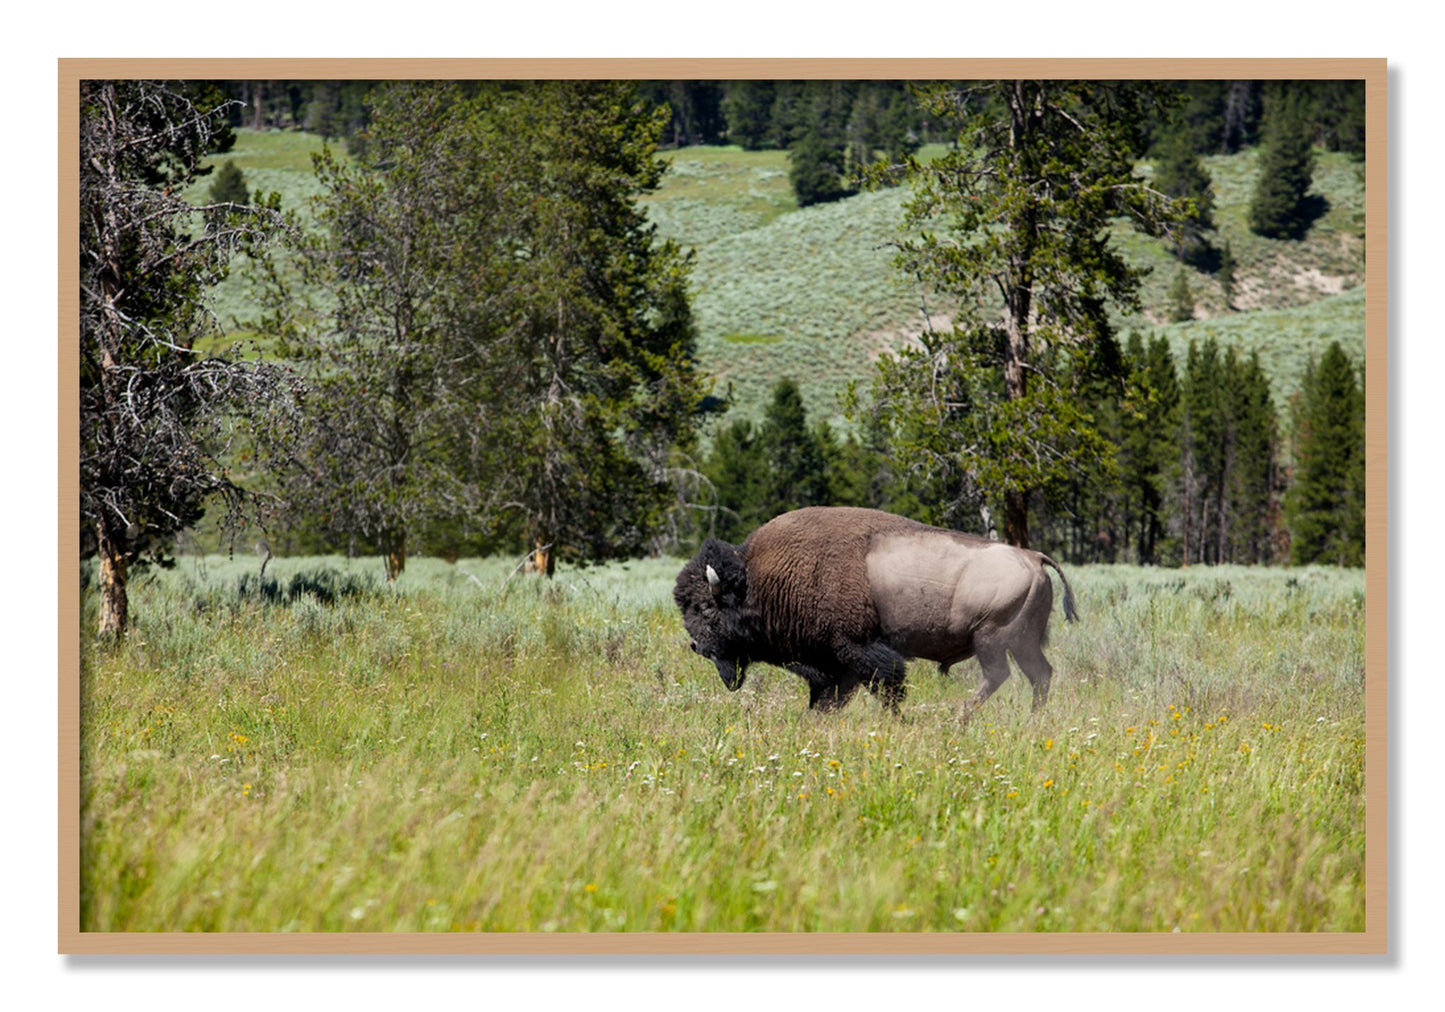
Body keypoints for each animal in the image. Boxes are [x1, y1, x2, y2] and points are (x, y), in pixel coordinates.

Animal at [674, 506, 1077, 717]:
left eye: (707, 609)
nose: (698, 646)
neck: (759, 579)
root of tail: (1033, 557)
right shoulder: (833, 665)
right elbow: (829, 698)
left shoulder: (857, 650)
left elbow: (886, 686)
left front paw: (897, 720)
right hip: (1022, 642)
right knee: (1039, 675)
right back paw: (1031, 719)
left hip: (991, 638)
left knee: (999, 675)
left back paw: (958, 719)